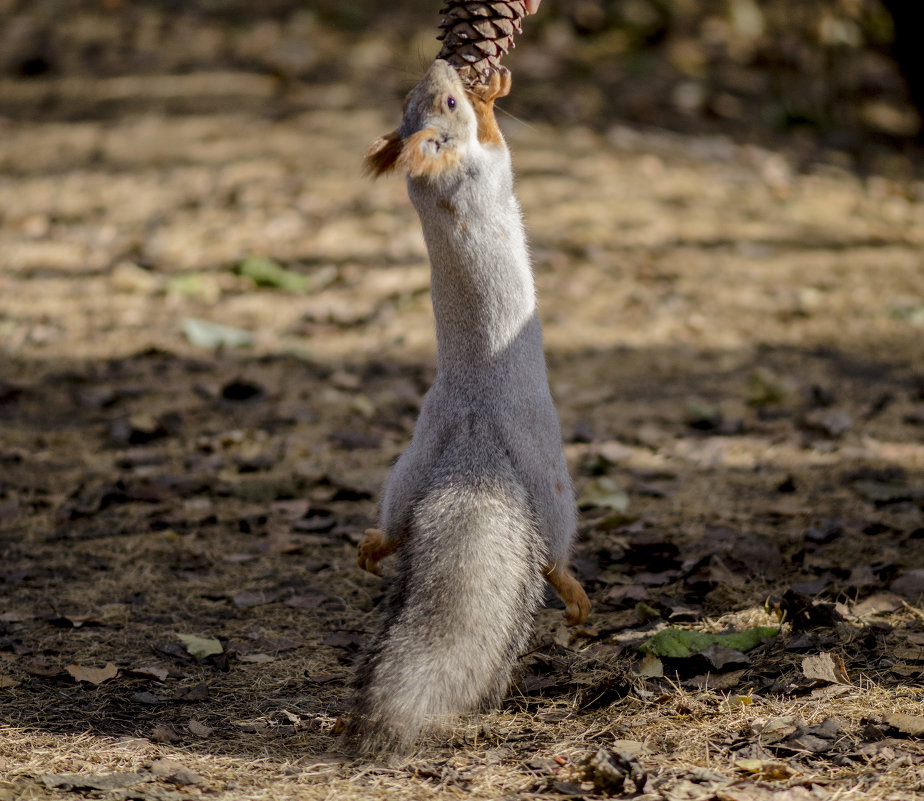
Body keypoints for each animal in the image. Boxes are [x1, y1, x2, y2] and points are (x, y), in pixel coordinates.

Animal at [346, 59, 592, 752]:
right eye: (448, 102)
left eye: (418, 96)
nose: (442, 65)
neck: (434, 187)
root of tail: (474, 431)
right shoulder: (488, 168)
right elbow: (500, 145)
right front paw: (496, 97)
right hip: (552, 479)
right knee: (552, 552)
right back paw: (571, 588)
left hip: (410, 465)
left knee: (400, 520)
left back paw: (375, 546)